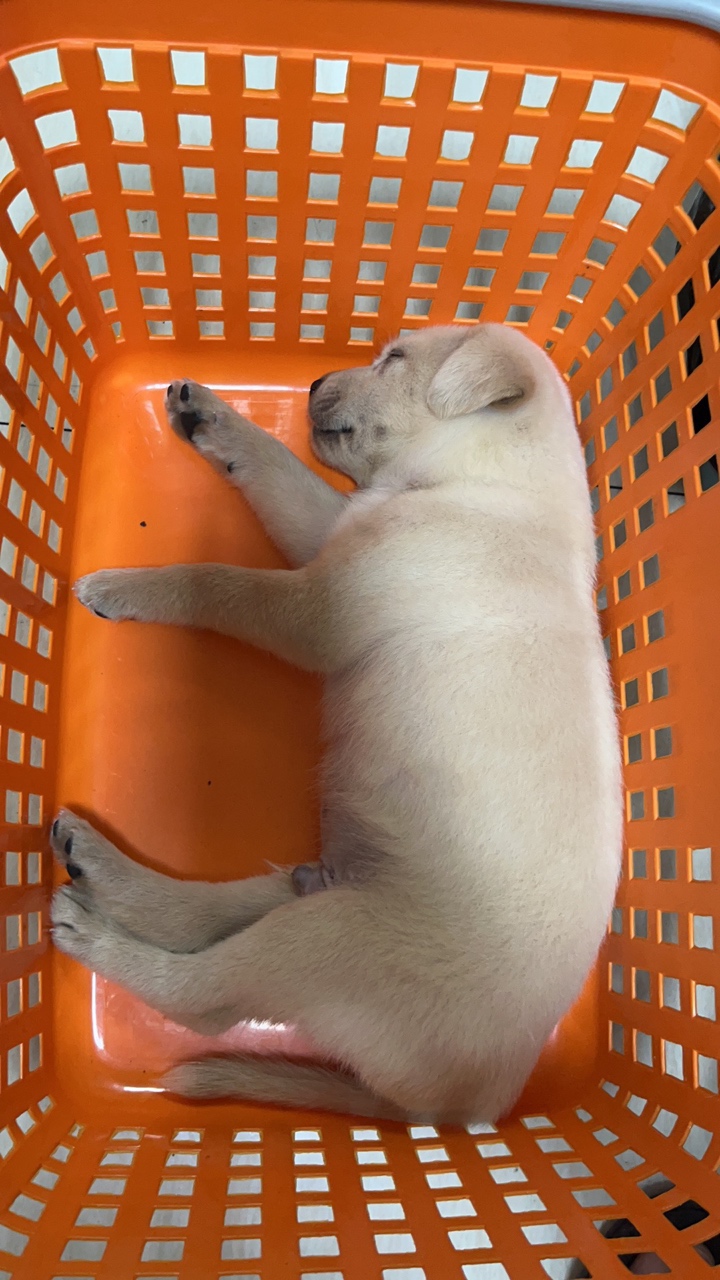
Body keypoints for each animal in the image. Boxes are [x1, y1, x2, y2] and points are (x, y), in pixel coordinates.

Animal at [51, 322, 622, 1123]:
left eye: (395, 359)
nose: (317, 381)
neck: (481, 487)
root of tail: (466, 1107)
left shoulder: (316, 612)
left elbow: (219, 582)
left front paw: (131, 587)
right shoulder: (333, 530)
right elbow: (281, 473)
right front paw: (215, 421)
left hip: (329, 940)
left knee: (203, 997)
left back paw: (95, 938)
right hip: (320, 889)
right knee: (203, 918)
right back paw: (94, 862)